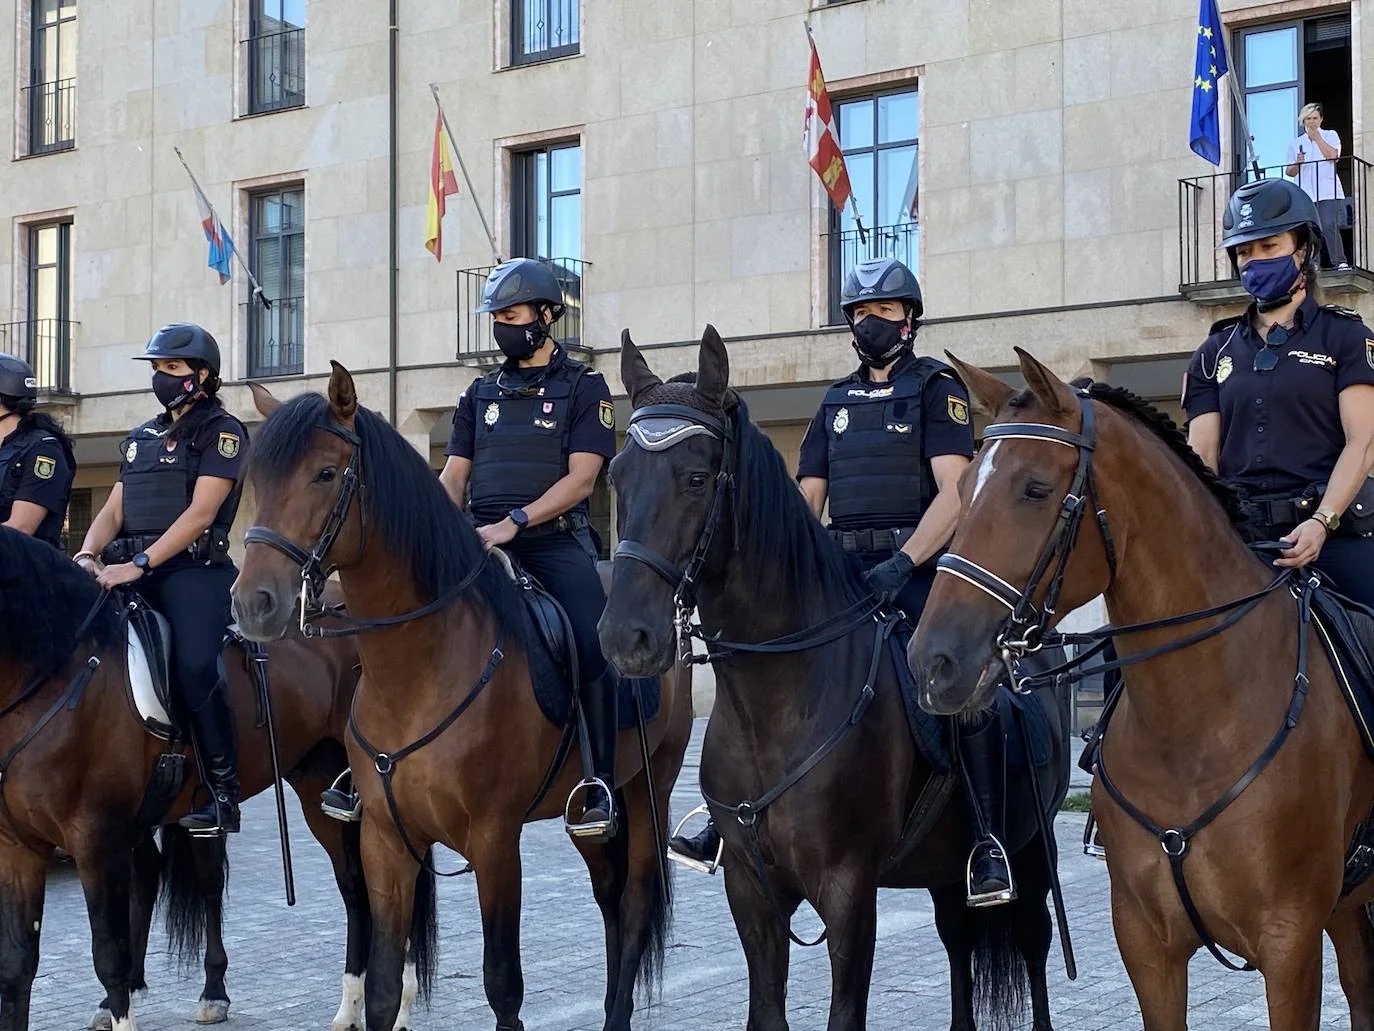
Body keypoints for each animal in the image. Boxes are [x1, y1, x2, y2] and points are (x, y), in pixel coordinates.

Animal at [0, 525, 384, 1031]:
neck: (60, 674)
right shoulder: (18, 847)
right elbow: (18, 962)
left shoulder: (95, 840)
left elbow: (108, 955)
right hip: (309, 784)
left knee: (365, 889)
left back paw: (358, 1005)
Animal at [229, 368, 692, 1031]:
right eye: (257, 482)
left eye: (324, 473)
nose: (253, 604)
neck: (420, 671)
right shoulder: (385, 840)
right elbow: (384, 987)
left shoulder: (495, 842)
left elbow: (502, 983)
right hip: (585, 815)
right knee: (608, 895)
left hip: (649, 786)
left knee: (632, 903)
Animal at [596, 331, 1066, 1031]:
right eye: (618, 478)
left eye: (696, 479)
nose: (625, 638)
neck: (777, 705)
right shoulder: (751, 891)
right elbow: (766, 1010)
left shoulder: (849, 895)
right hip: (945, 869)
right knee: (958, 942)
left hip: (1032, 848)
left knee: (1034, 946)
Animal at [912, 349, 1374, 1031]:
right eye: (963, 490)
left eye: (1035, 489)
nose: (932, 662)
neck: (1195, 725)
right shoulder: (1146, 943)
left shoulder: (1289, 943)